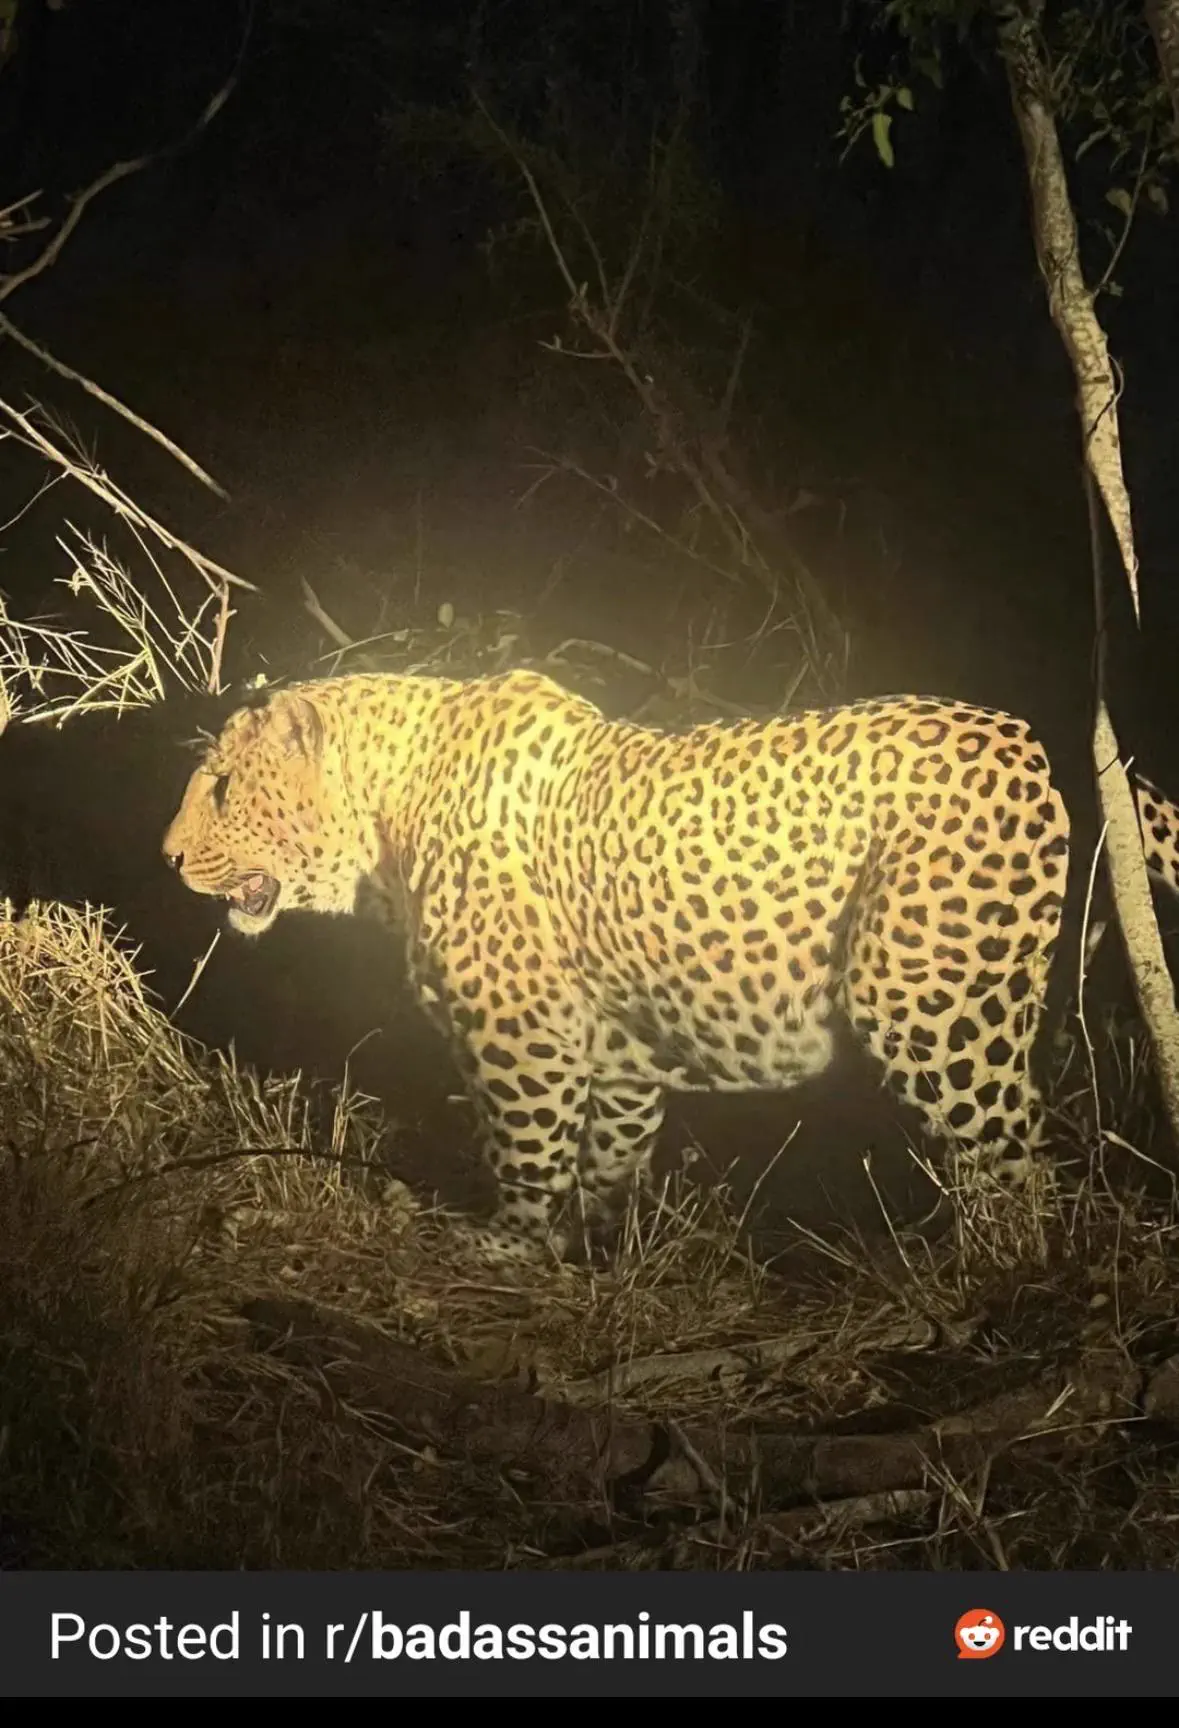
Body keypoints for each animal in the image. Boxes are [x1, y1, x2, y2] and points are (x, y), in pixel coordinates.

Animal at [161, 668, 1179, 1265]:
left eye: (222, 786)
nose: (166, 857)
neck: (387, 813)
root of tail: (1035, 734)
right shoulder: (615, 1056)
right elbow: (604, 1156)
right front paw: (590, 1249)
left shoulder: (519, 1035)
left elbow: (523, 1148)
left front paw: (508, 1246)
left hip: (925, 1005)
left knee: (1013, 1156)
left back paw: (999, 1279)